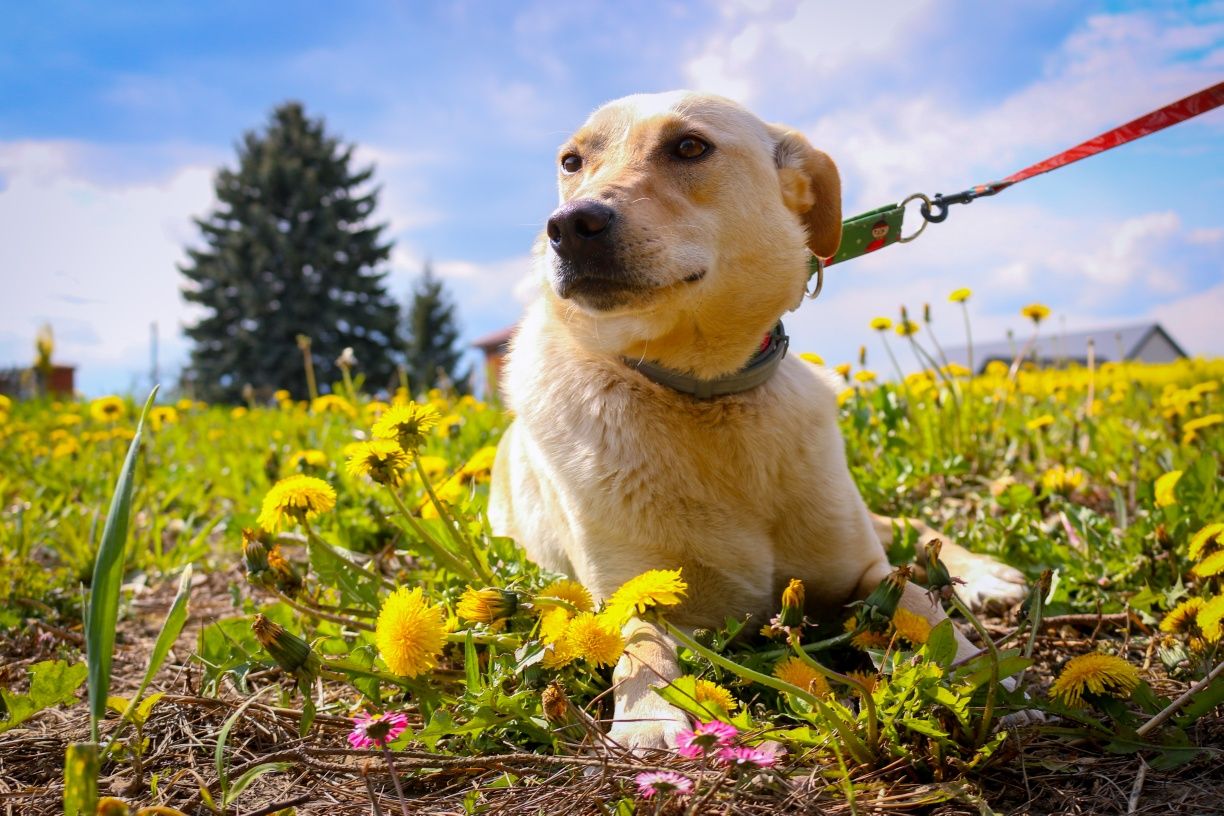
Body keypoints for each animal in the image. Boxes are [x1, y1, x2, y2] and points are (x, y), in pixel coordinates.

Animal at [487, 91, 1023, 753]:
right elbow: (642, 647)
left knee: (913, 530)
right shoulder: (629, 594)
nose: (567, 226)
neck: (706, 393)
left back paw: (988, 575)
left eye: (689, 146)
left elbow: (922, 601)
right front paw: (650, 716)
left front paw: (980, 671)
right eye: (571, 161)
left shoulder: (867, 573)